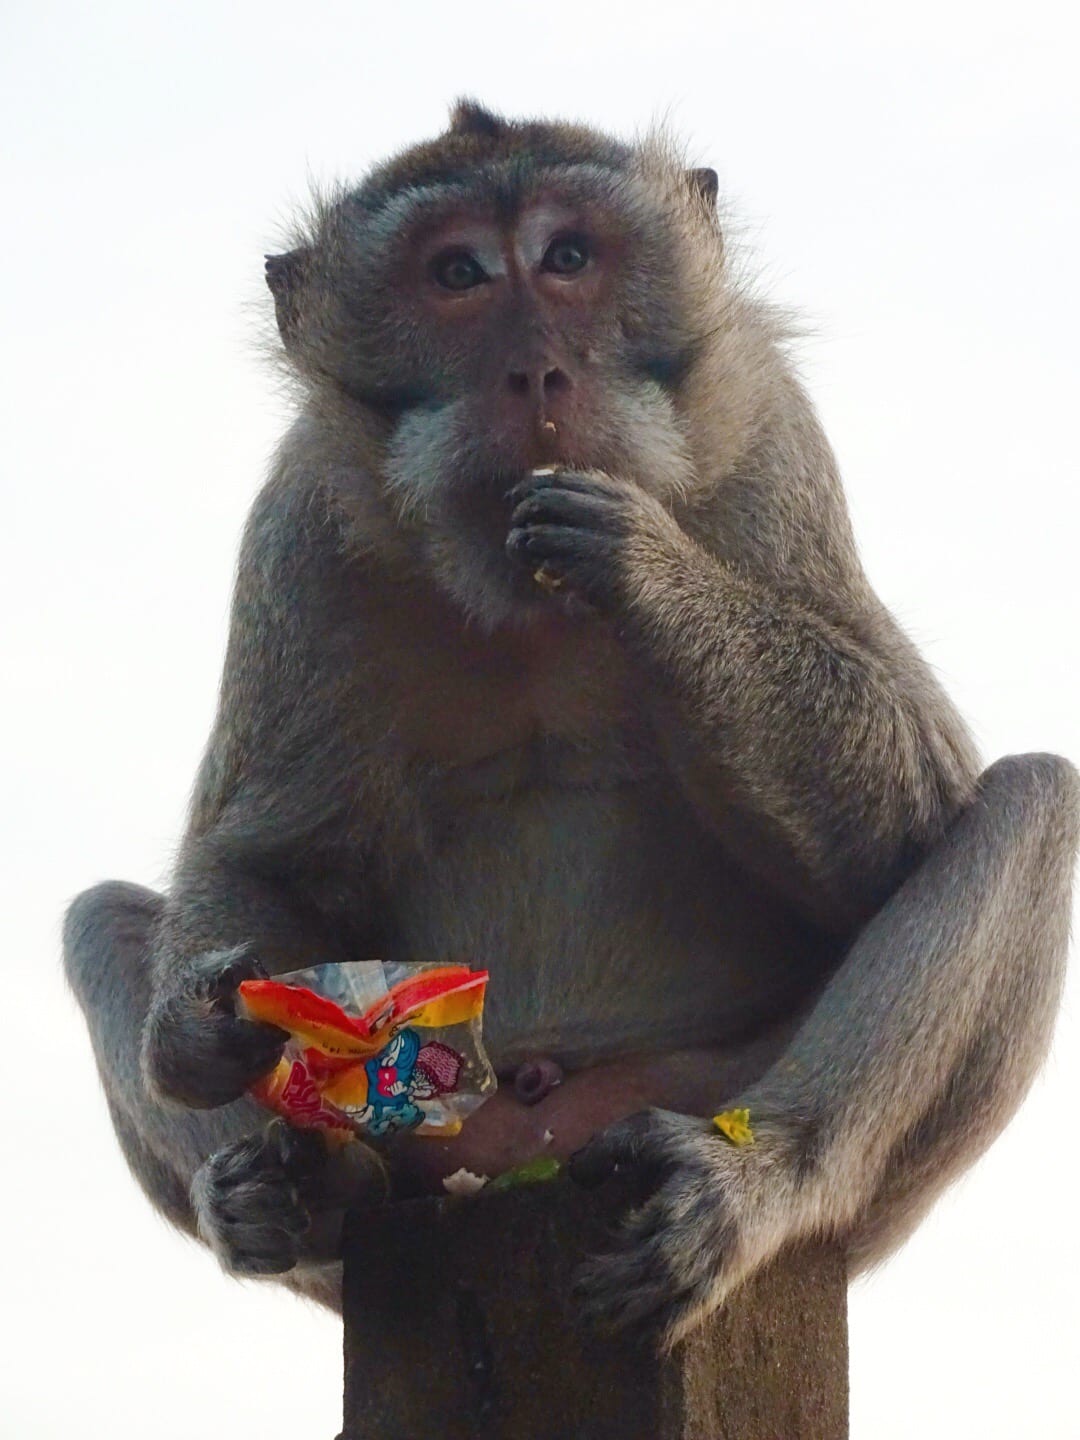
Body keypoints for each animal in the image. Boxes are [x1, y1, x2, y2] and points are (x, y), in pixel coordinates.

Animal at [63, 104, 1077, 1347]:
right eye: (456, 273)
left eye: (568, 257)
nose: (539, 369)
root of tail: (528, 1144)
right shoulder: (297, 529)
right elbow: (268, 861)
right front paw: (204, 1031)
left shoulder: (775, 439)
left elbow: (907, 824)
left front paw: (648, 570)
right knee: (100, 917)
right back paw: (302, 1192)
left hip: (710, 1112)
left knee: (1031, 801)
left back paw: (752, 1184)